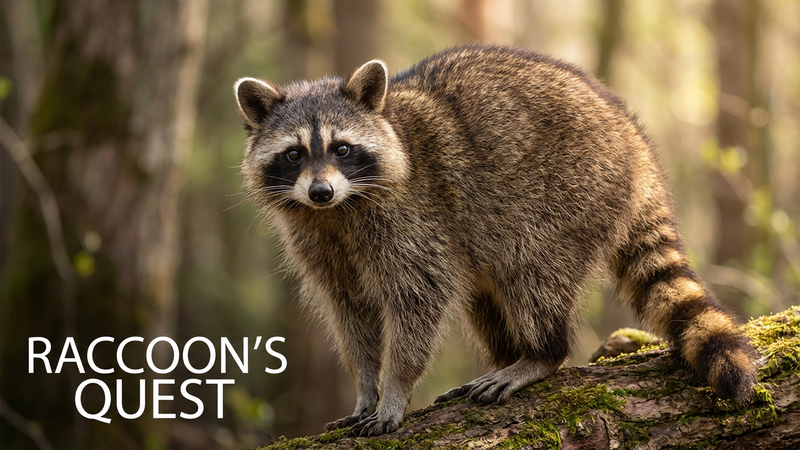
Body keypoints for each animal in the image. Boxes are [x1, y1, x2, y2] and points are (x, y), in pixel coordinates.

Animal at [234, 44, 758, 437]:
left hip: (569, 197)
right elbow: (351, 312)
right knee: (486, 297)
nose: (320, 191)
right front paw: (365, 386)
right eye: (294, 154)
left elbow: (418, 303)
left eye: (341, 149)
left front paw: (396, 388)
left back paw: (540, 355)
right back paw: (508, 354)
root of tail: (635, 142)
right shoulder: (319, 241)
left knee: (532, 278)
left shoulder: (413, 220)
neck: (337, 212)